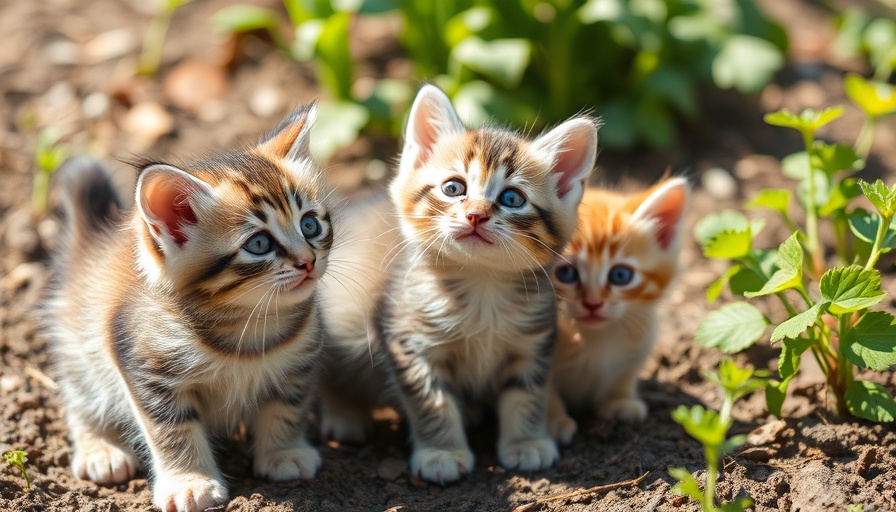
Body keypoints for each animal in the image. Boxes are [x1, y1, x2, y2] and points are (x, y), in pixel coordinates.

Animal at [40, 106, 330, 510]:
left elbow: (288, 405)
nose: (307, 261)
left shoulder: (298, 363)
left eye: (310, 225)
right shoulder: (145, 369)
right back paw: (100, 449)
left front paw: (284, 453)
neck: (247, 323)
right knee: (80, 399)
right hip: (81, 349)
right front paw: (189, 483)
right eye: (259, 244)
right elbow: (172, 431)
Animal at [374, 85, 600, 484]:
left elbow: (526, 395)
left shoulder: (534, 342)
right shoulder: (410, 341)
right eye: (453, 188)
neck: (481, 282)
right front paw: (442, 452)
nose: (475, 215)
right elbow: (432, 399)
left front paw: (527, 442)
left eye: (512, 198)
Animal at [544, 177, 688, 444]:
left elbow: (624, 374)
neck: (595, 337)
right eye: (566, 273)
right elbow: (543, 390)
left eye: (621, 275)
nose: (593, 303)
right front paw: (552, 421)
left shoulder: (639, 346)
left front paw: (620, 401)